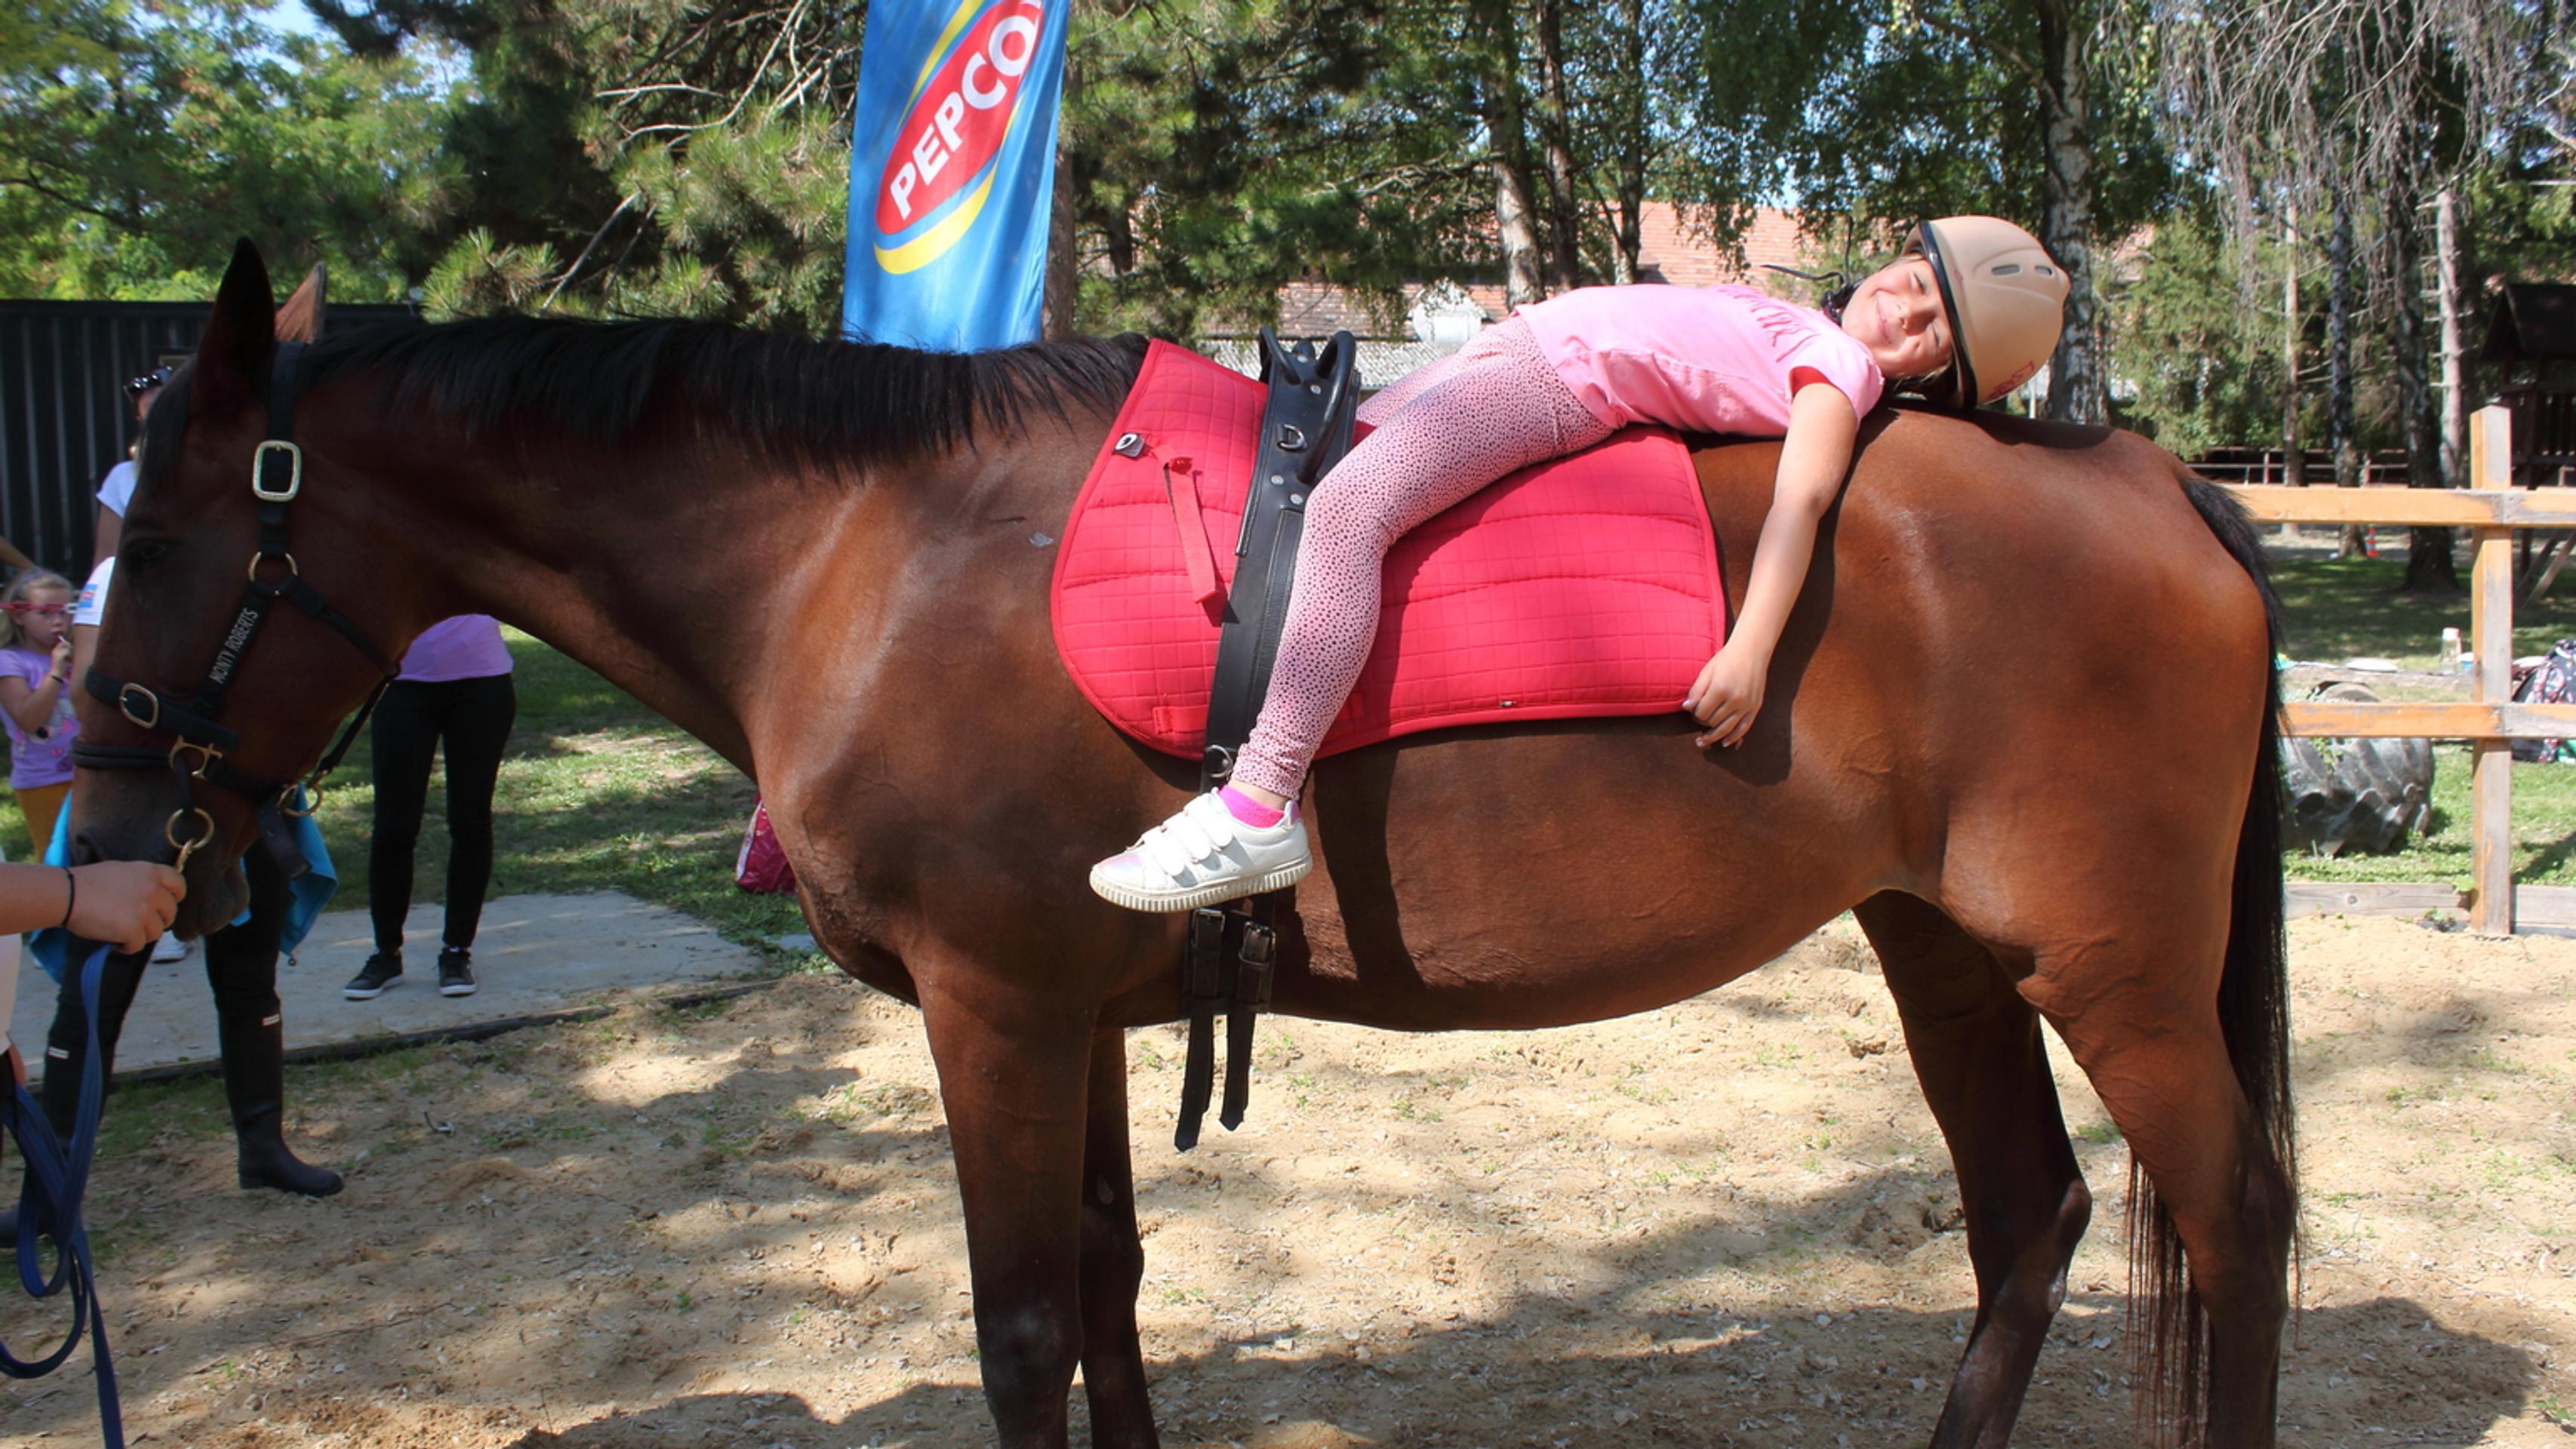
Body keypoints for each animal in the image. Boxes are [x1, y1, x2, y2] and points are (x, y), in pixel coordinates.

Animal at [73, 241, 2293, 1449]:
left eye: (157, 540)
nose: (101, 833)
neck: (867, 554)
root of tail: (2151, 480)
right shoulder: (1063, 1017)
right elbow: (1112, 1288)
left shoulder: (991, 1010)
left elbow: (1023, 1328)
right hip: (1942, 947)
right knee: (2025, 1222)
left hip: (2110, 973)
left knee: (2236, 1214)